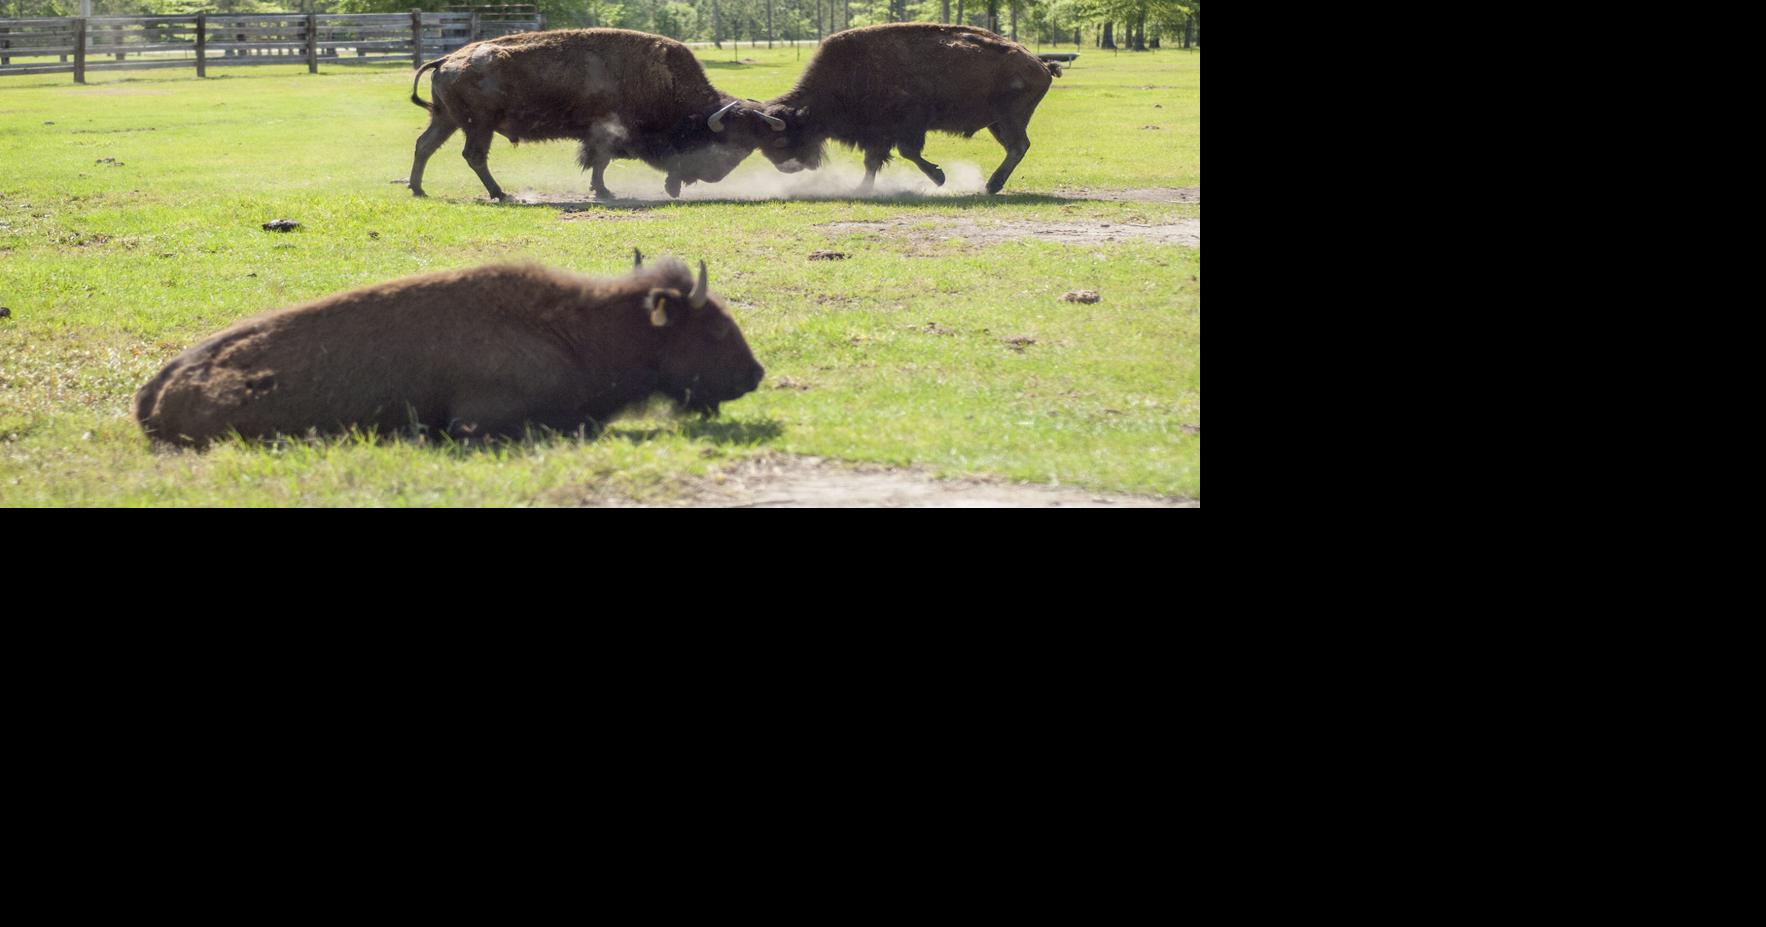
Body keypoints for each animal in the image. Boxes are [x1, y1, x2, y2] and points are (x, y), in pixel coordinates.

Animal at [408, 29, 784, 200]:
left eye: (749, 147)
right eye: (727, 141)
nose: (714, 176)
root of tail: (447, 60)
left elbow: (600, 162)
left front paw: (604, 191)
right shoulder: (605, 133)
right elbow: (600, 161)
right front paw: (605, 193)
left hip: (446, 119)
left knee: (425, 145)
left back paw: (418, 189)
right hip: (477, 125)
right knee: (473, 155)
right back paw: (500, 194)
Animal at [748, 24, 1060, 194]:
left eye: (781, 139)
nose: (788, 168)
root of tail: (1041, 64)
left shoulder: (906, 127)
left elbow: (907, 152)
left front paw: (939, 177)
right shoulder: (877, 135)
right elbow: (874, 161)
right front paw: (864, 188)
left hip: (1010, 119)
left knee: (1018, 146)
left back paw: (991, 185)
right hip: (996, 123)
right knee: (1014, 148)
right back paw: (992, 185)